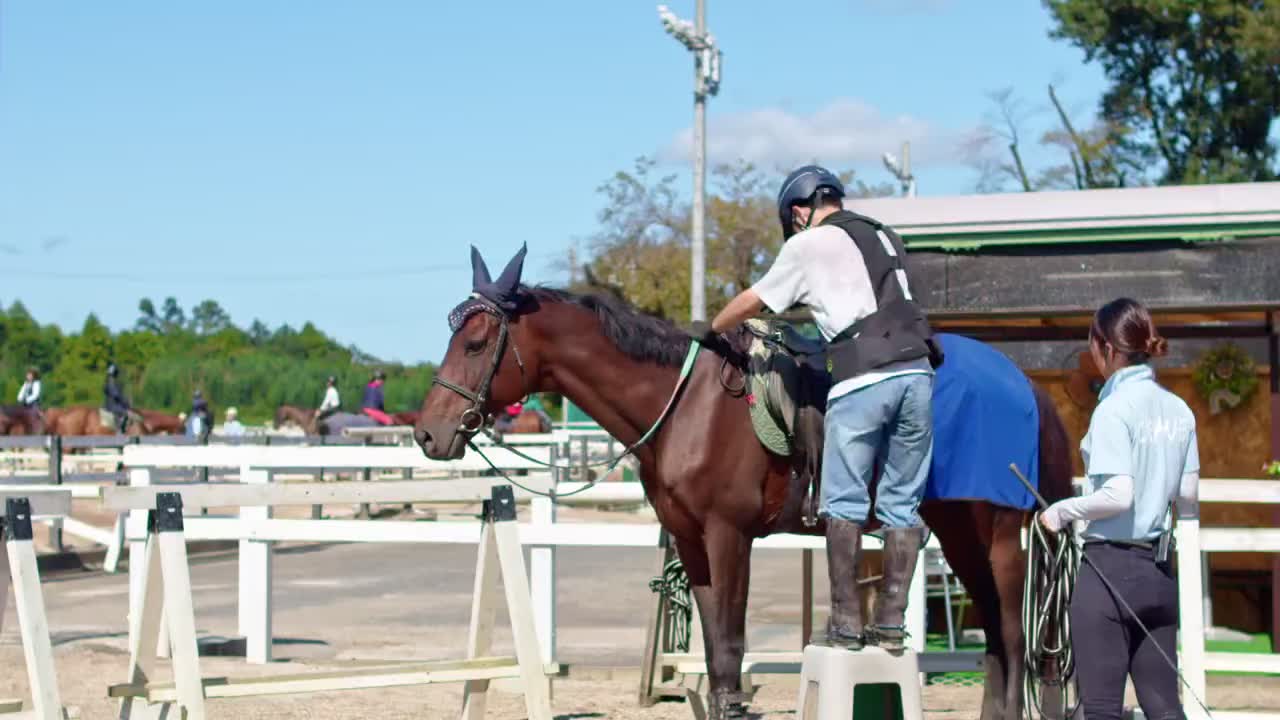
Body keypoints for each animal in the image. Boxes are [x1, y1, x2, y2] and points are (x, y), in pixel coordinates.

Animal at [416, 277, 1074, 720]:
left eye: (476, 344)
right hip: (959, 533)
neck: (685, 402)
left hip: (994, 533)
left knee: (1011, 633)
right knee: (997, 637)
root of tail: (1019, 380)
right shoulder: (692, 545)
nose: (428, 433)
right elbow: (715, 648)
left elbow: (731, 644)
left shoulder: (729, 537)